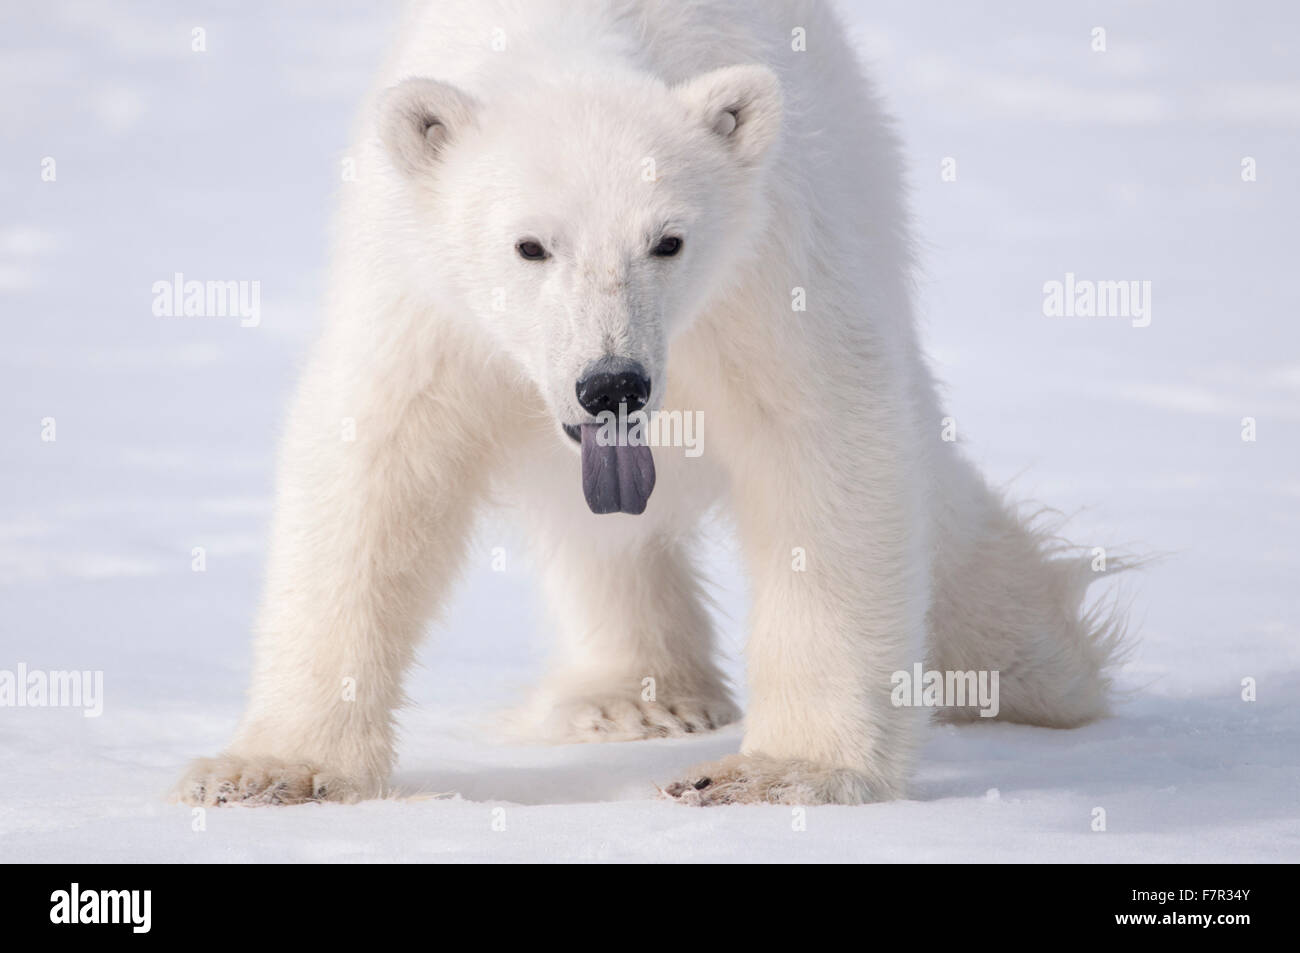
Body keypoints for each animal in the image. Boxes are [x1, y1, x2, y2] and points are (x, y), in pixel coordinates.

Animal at [176, 0, 1127, 807]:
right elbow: (375, 465)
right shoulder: (426, 299)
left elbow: (824, 448)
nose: (613, 382)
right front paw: (267, 770)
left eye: (668, 240)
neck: (573, 46)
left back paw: (1037, 666)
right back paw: (634, 699)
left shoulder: (761, 274)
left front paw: (781, 770)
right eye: (530, 245)